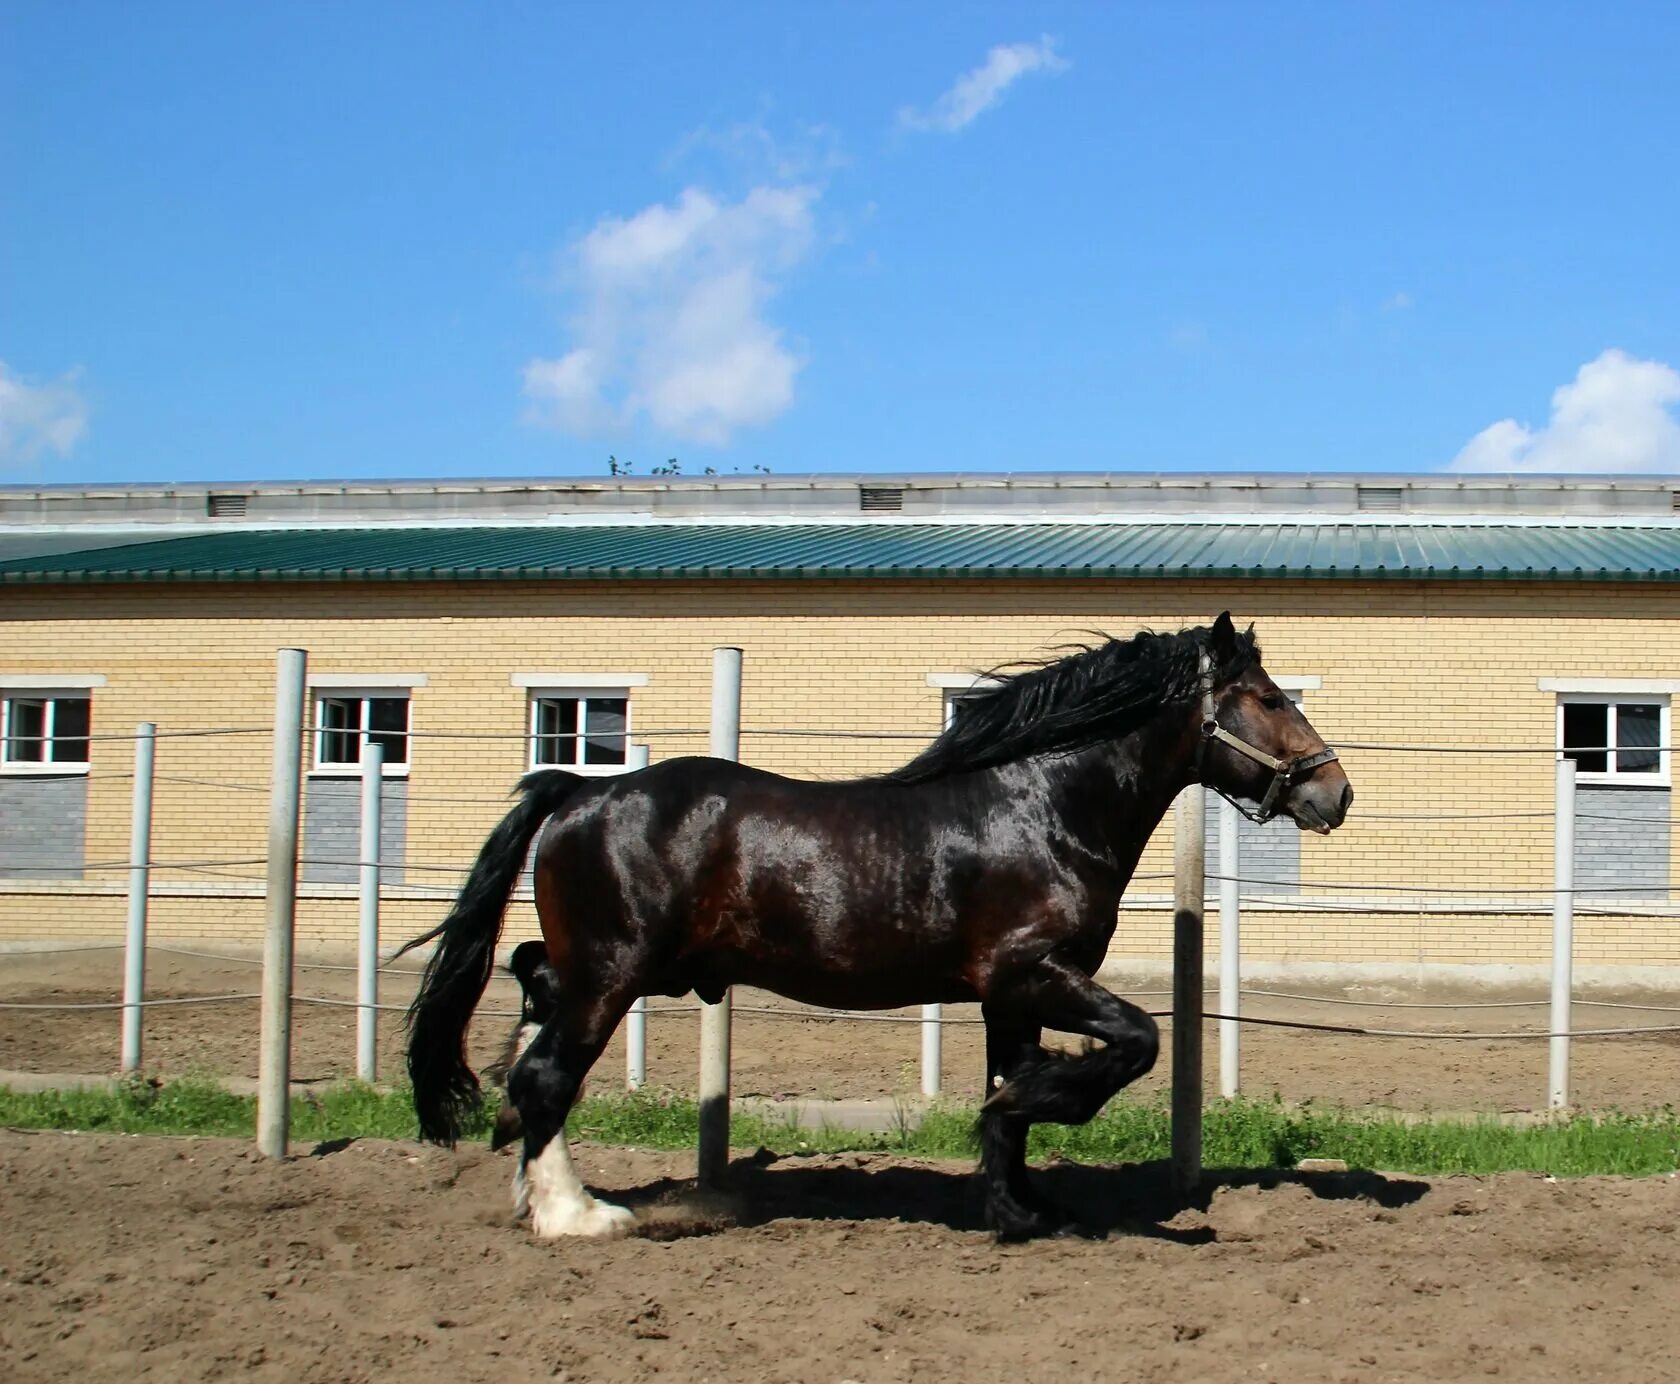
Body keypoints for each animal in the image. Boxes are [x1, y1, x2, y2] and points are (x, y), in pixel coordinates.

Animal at [403, 614, 1350, 1242]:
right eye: (1268, 699)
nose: (1333, 792)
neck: (1043, 808)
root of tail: (576, 789)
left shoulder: (1010, 998)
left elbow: (1013, 1098)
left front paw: (1018, 1208)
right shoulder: (1030, 973)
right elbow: (1132, 1042)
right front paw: (1034, 1128)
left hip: (611, 968)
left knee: (530, 998)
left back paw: (523, 1173)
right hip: (613, 973)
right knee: (547, 1075)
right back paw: (577, 1213)